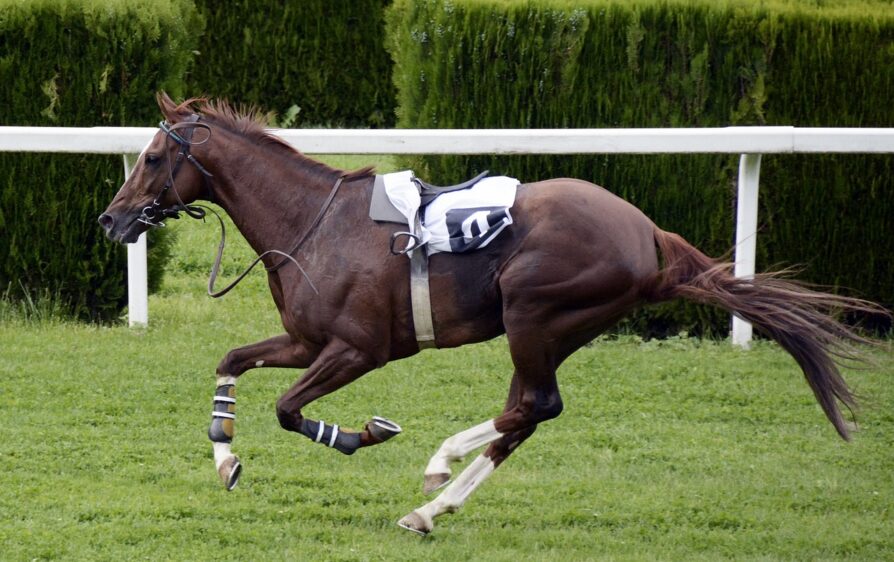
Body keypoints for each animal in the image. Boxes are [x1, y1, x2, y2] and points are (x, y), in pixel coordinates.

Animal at [101, 93, 884, 532]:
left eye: (150, 158)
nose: (111, 220)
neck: (312, 223)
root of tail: (648, 234)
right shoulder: (305, 338)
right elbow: (231, 362)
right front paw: (225, 458)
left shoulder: (358, 349)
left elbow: (290, 410)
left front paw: (363, 433)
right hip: (550, 328)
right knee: (526, 414)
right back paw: (432, 506)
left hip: (535, 315)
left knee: (531, 406)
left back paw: (437, 469)